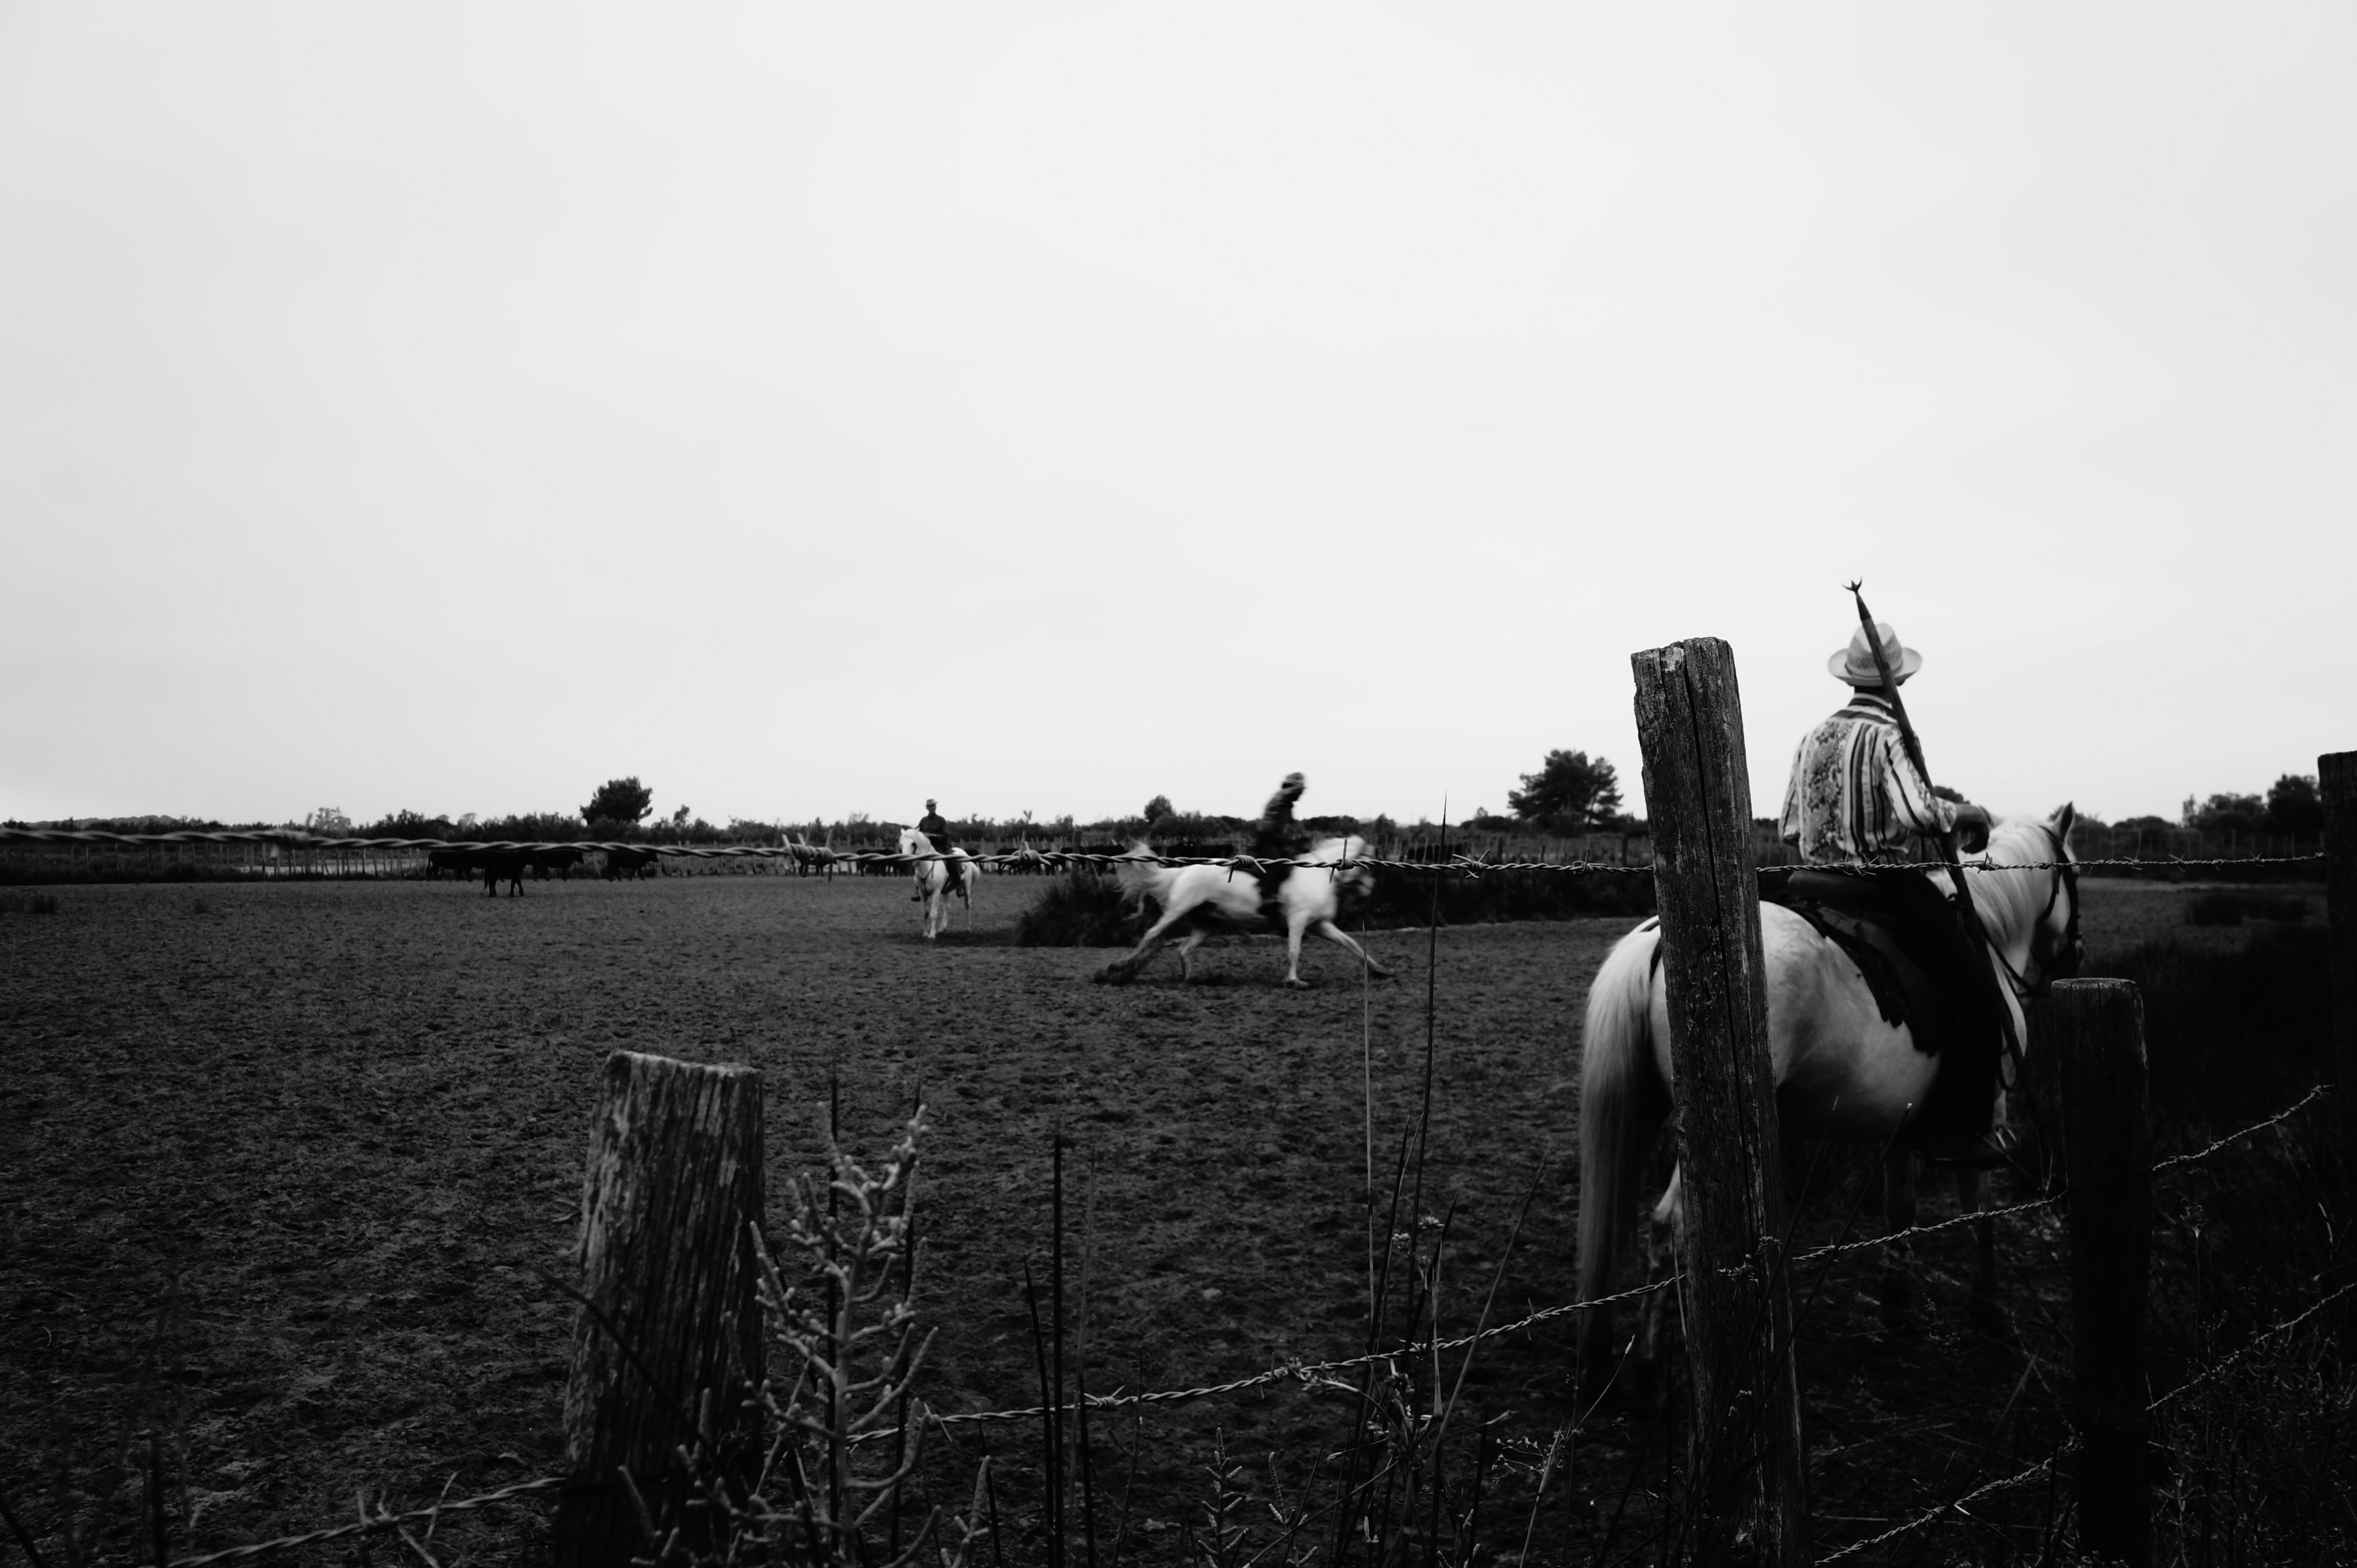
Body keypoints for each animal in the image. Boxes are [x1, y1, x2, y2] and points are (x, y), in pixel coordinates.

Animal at [900, 825, 976, 933]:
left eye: (913, 844)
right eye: (901, 844)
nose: (904, 860)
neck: (927, 866)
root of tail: (965, 854)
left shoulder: (936, 892)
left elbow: (933, 914)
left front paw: (932, 934)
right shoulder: (923, 893)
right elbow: (925, 914)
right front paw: (926, 933)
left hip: (967, 888)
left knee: (968, 905)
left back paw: (968, 928)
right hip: (947, 890)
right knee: (946, 907)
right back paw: (941, 928)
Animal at [1103, 830, 1395, 990]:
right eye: (1369, 864)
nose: (1369, 891)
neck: (1317, 876)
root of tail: (1182, 872)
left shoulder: (1320, 925)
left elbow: (1351, 944)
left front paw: (1379, 970)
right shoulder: (1298, 921)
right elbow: (1294, 950)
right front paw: (1294, 981)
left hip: (1208, 924)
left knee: (1184, 949)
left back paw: (1193, 979)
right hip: (1177, 910)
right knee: (1152, 935)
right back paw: (1118, 968)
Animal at [1583, 802, 2083, 1377]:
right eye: (2074, 872)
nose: (2076, 953)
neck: (1991, 936)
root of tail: (1656, 939)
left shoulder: (1902, 1123)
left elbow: (1900, 1209)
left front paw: (1896, 1307)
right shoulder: (1984, 1114)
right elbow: (1979, 1208)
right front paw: (1989, 1313)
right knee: (1675, 1228)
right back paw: (1658, 1360)